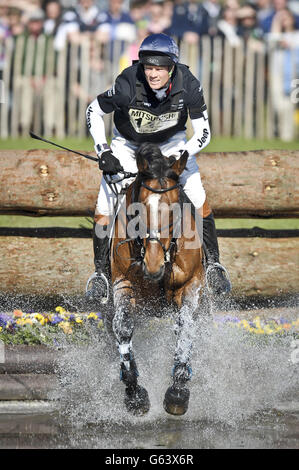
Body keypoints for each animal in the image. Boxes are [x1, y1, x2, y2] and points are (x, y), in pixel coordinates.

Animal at [106, 142, 207, 414]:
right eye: (138, 211)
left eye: (174, 211)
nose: (153, 265)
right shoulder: (123, 283)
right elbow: (123, 326)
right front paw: (134, 393)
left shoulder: (190, 285)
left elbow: (185, 326)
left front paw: (178, 392)